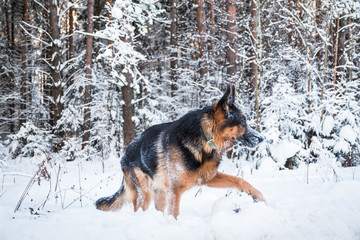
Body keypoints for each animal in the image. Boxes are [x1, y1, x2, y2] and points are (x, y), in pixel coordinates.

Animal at [95, 84, 264, 218]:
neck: (205, 139)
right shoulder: (175, 192)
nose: (262, 138)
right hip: (145, 193)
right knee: (140, 208)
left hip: (160, 195)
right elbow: (174, 215)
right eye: (243, 122)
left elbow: (240, 180)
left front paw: (259, 197)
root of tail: (125, 154)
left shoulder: (209, 178)